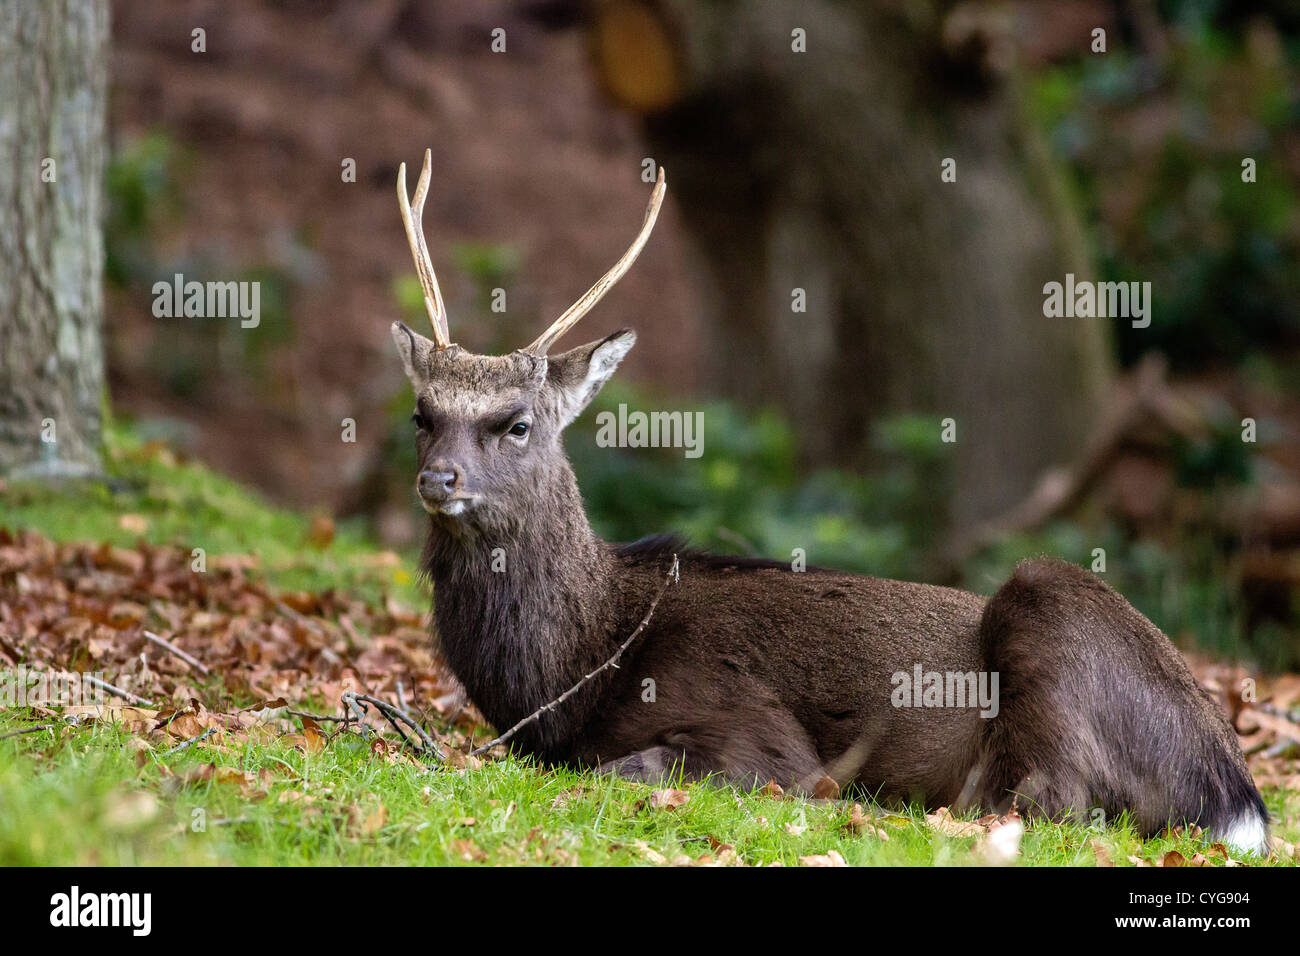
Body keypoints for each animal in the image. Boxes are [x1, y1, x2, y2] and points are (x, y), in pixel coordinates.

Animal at [388, 150, 1270, 855]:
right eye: (421, 414)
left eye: (518, 422)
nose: (438, 480)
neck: (581, 665)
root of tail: (1238, 799)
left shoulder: (751, 728)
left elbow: (635, 767)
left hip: (1050, 605)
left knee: (1045, 802)